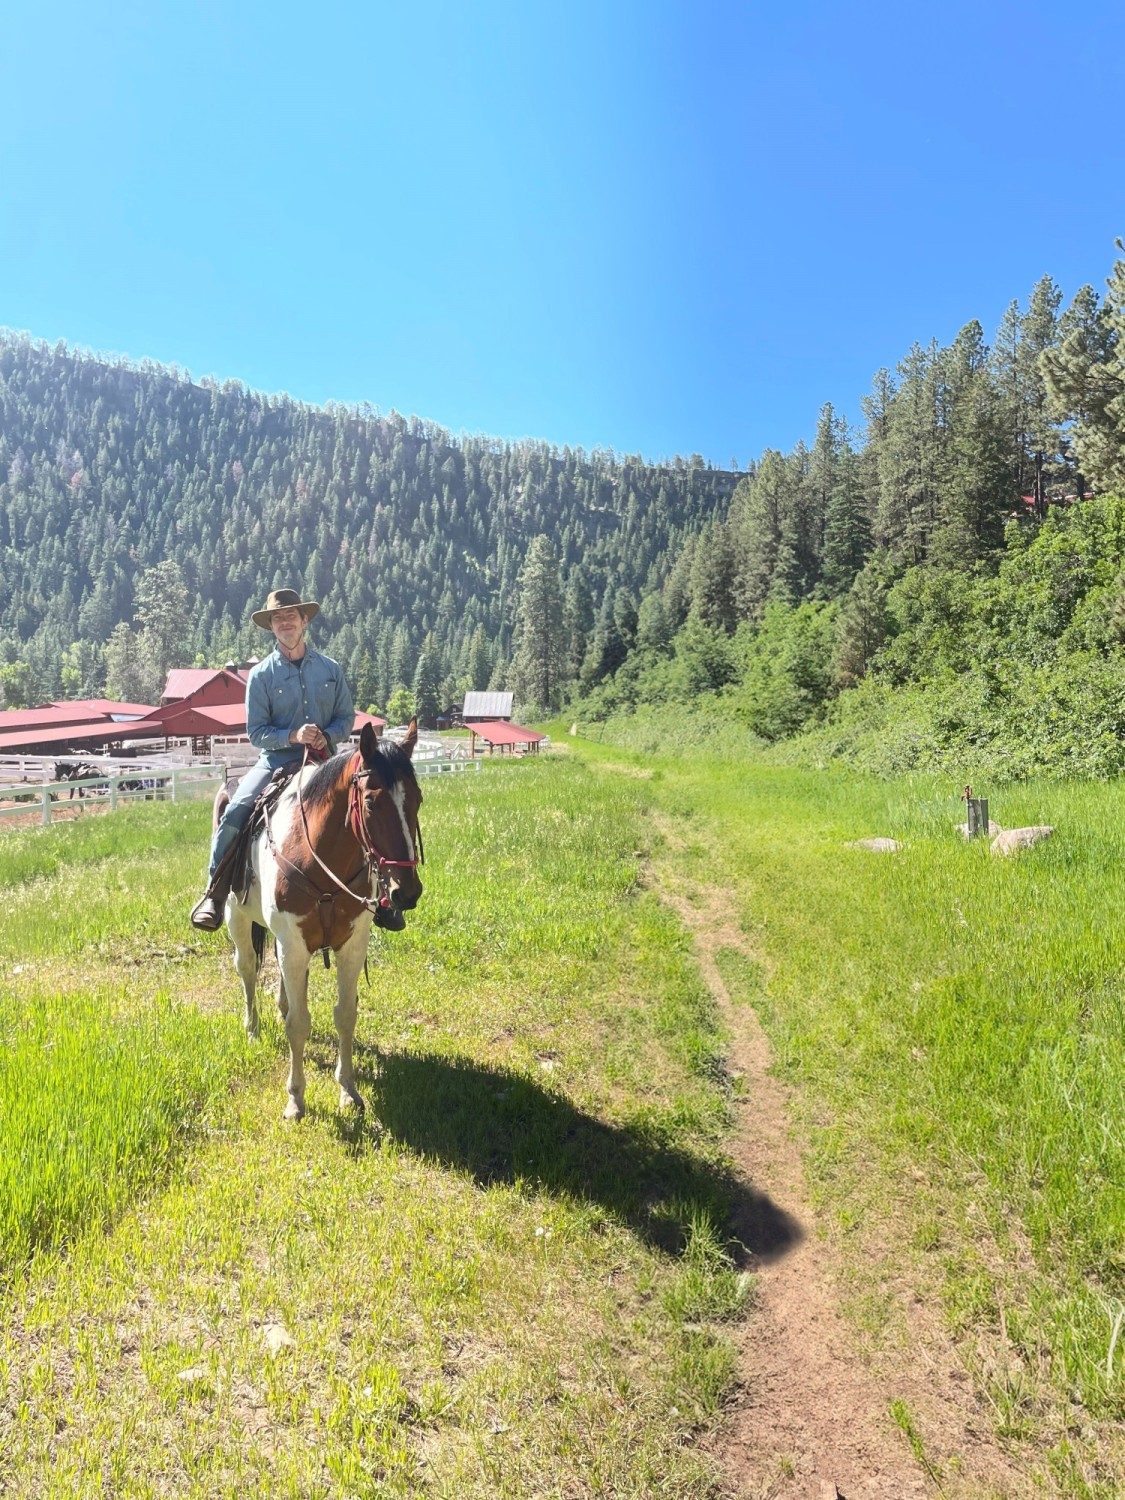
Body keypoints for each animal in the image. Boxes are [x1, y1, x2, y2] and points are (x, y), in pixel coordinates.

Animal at [226, 720, 426, 1122]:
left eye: (417, 799)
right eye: (371, 801)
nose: (407, 892)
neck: (317, 853)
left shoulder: (351, 945)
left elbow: (345, 1014)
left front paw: (349, 1090)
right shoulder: (293, 945)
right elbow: (299, 1023)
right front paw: (296, 1099)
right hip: (235, 916)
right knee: (248, 967)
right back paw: (252, 1029)